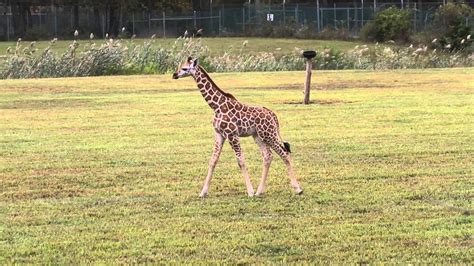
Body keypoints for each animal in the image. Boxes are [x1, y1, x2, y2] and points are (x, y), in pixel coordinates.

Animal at [172, 57, 302, 196]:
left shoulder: (232, 134)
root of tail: (272, 114)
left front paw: (250, 192)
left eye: (185, 68)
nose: (174, 75)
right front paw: (203, 192)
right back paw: (260, 191)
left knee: (284, 153)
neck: (216, 106)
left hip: (269, 134)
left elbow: (241, 161)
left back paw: (298, 189)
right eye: (180, 66)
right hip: (258, 136)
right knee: (268, 156)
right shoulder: (219, 134)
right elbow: (213, 161)